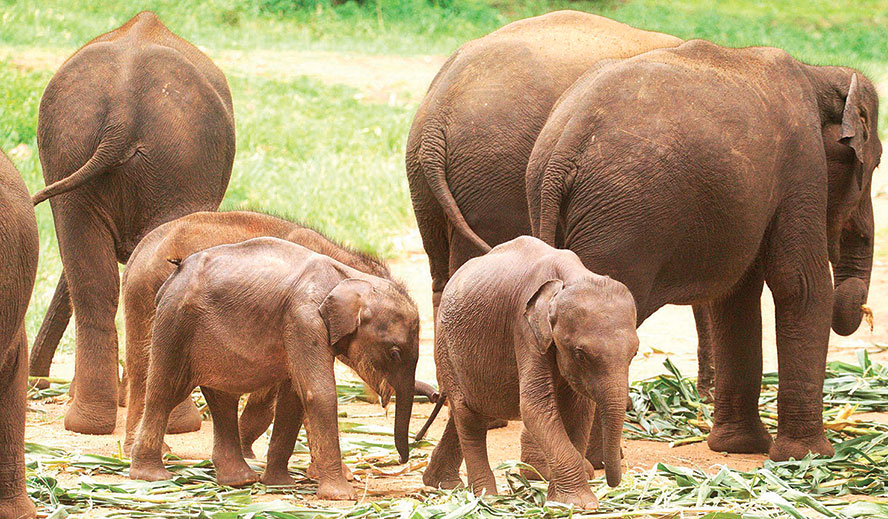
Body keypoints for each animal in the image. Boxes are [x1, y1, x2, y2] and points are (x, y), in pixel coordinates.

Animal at [29, 11, 235, 434]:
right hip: (180, 164)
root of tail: (122, 111)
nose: (36, 380)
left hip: (71, 148)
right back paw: (177, 422)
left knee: (92, 278)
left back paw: (87, 422)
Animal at [121, 210, 438, 461]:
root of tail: (139, 252)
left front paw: (247, 452)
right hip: (151, 299)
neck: (345, 263)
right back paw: (152, 451)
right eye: (393, 352)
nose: (435, 395)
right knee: (147, 369)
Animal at [427, 236, 637, 509]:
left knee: (470, 411)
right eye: (580, 354)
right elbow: (534, 407)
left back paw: (441, 484)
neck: (572, 276)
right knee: (468, 417)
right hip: (445, 344)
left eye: (634, 353)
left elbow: (580, 410)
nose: (613, 482)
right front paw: (582, 505)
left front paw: (559, 500)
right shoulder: (524, 329)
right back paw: (487, 497)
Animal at [526, 39, 881, 462]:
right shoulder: (802, 165)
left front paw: (739, 448)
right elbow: (801, 286)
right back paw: (595, 461)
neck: (818, 74)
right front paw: (807, 456)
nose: (864, 311)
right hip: (618, 227)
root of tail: (561, 152)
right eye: (875, 164)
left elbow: (735, 298)